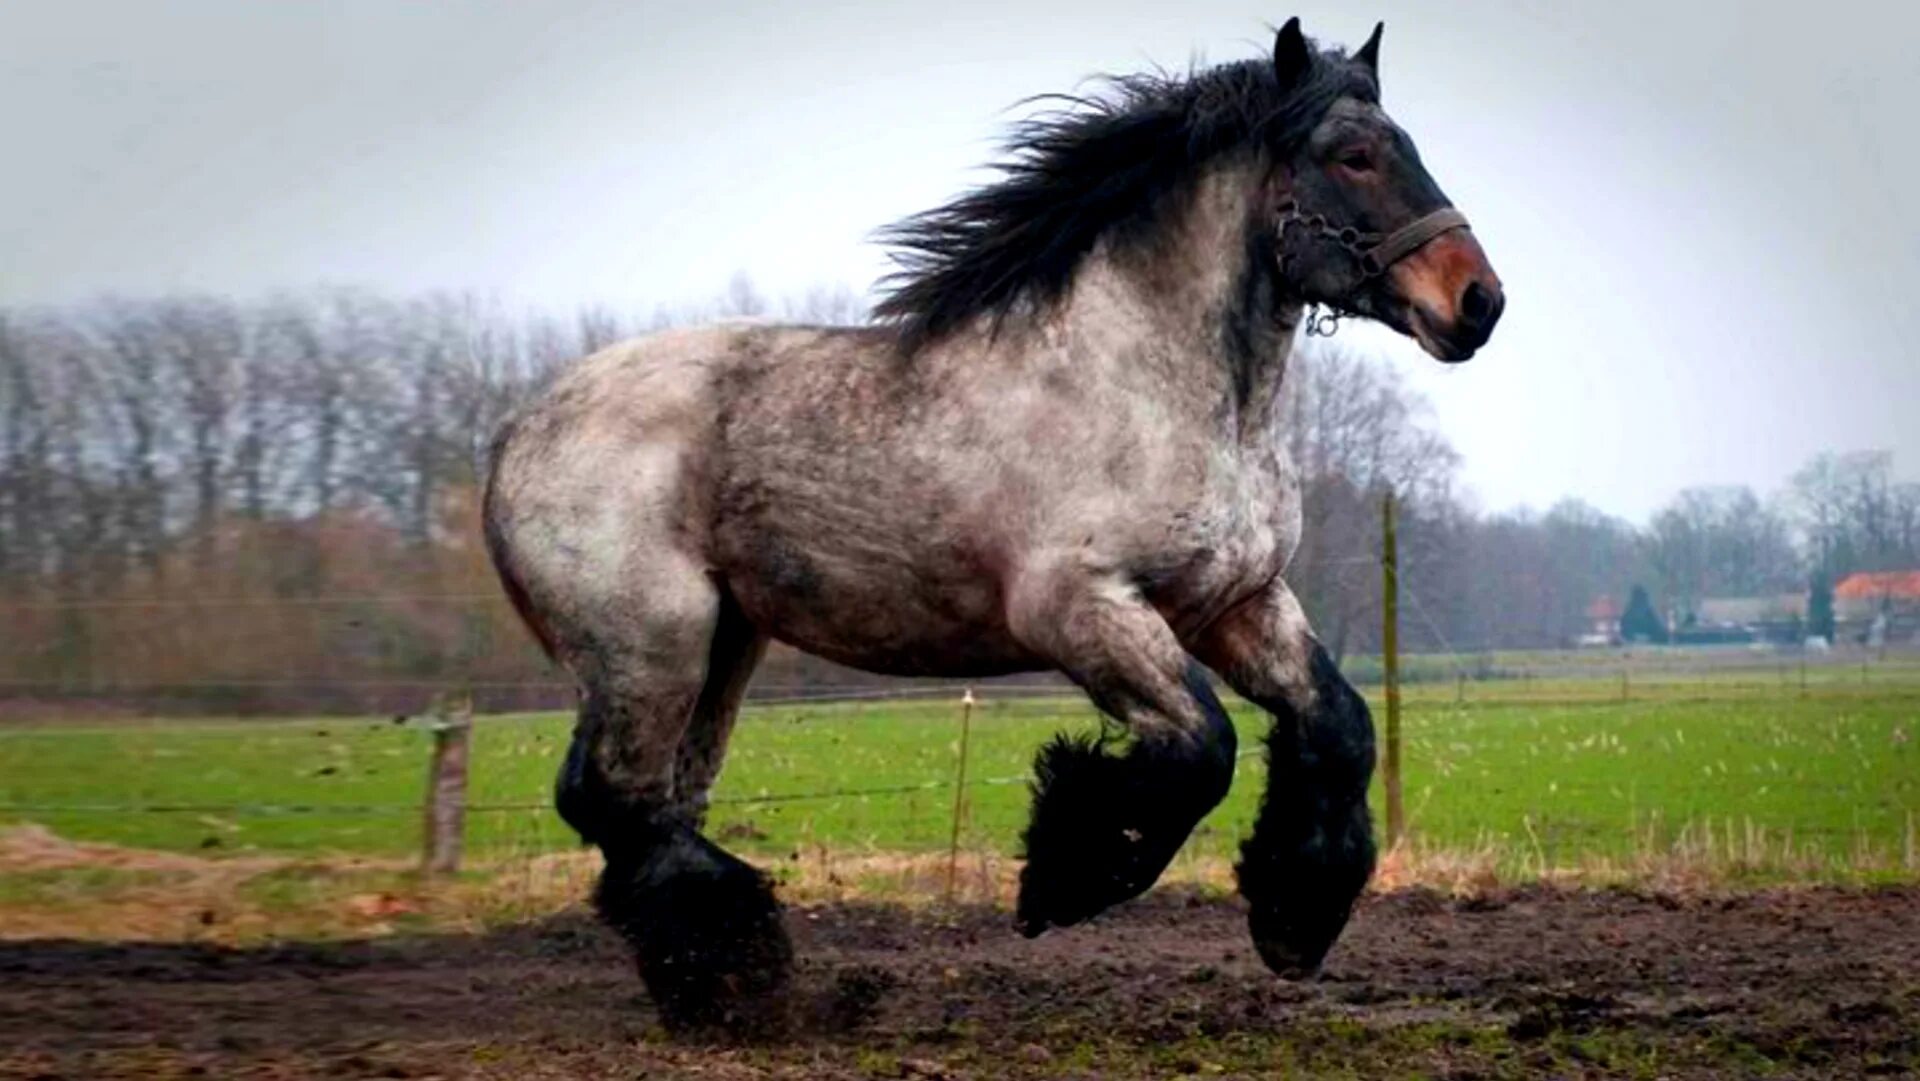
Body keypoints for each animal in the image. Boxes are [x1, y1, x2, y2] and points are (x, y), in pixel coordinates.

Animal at [483, 14, 1497, 1029]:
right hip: (650, 644)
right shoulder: (1079, 607)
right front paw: (1063, 878)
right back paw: (745, 976)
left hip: (725, 642)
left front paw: (1293, 917)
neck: (1153, 386)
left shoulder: (1236, 601)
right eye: (1353, 156)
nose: (1477, 301)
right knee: (609, 797)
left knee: (660, 803)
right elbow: (1201, 746)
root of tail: (519, 432)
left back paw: (720, 988)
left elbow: (1339, 722)